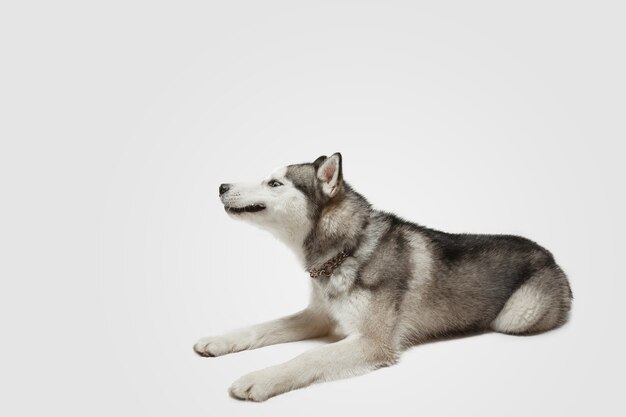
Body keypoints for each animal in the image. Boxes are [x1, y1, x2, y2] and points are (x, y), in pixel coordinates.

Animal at [195, 152, 572, 400]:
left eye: (274, 183)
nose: (221, 186)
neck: (347, 249)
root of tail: (551, 255)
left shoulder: (372, 342)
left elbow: (308, 356)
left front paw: (261, 377)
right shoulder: (319, 316)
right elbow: (263, 327)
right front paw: (220, 341)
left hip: (516, 317)